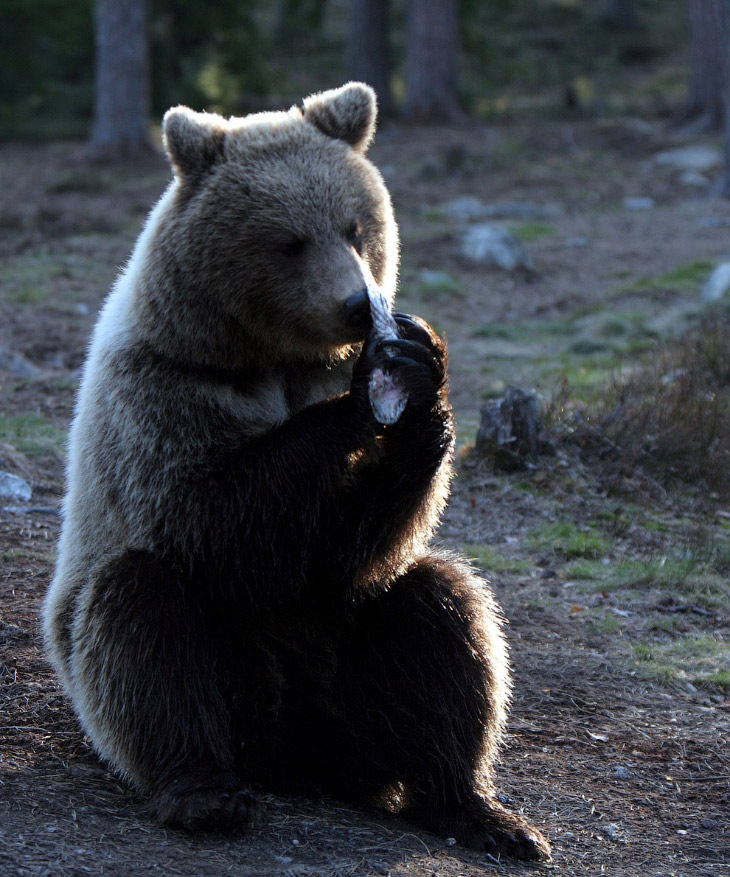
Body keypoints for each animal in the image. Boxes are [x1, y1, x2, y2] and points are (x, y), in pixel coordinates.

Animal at [42, 84, 544, 864]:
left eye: (355, 226)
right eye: (288, 240)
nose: (356, 304)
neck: (273, 358)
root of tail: (299, 759)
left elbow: (354, 546)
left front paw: (419, 370)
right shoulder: (164, 390)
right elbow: (214, 519)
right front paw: (365, 395)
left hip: (348, 678)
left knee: (443, 611)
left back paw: (479, 808)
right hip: (210, 679)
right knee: (140, 618)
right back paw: (204, 791)